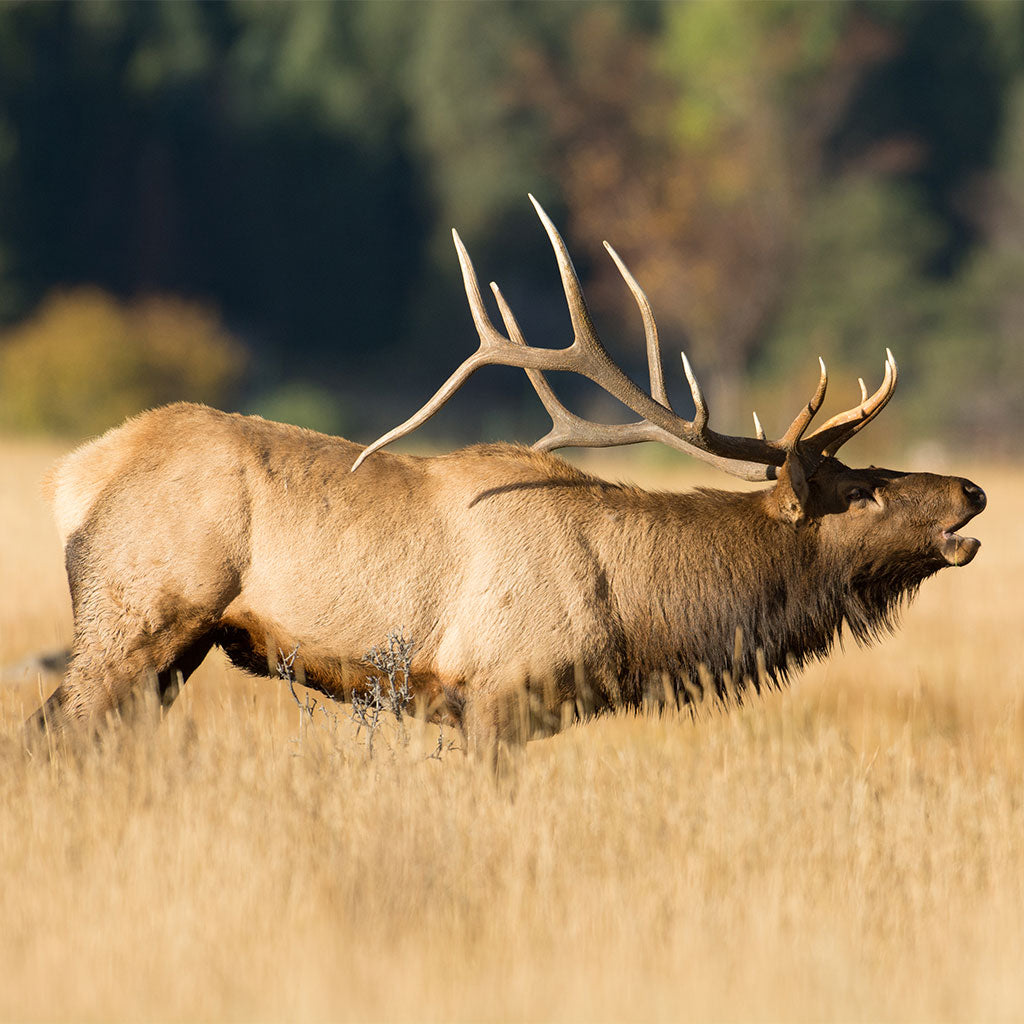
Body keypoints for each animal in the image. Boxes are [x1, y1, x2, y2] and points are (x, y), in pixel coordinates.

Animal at [28, 196, 986, 753]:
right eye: (858, 490)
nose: (971, 490)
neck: (634, 610)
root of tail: (74, 473)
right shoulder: (495, 693)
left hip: (169, 649)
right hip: (134, 617)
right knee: (53, 732)